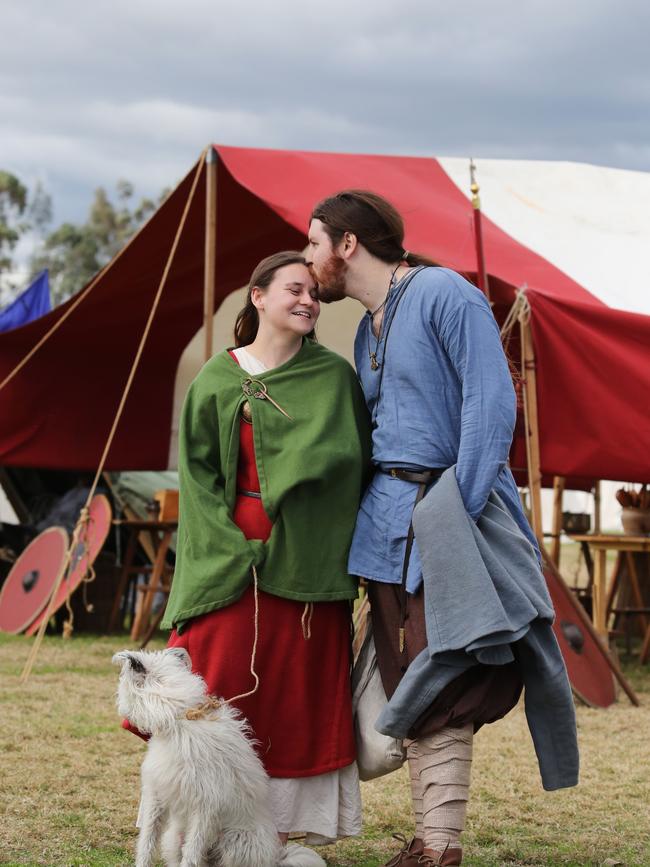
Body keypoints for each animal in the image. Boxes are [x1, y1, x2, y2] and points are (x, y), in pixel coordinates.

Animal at [113, 648, 278, 867]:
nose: (122, 712)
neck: (179, 717)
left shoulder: (205, 809)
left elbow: (191, 854)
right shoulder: (157, 796)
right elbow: (147, 842)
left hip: (236, 842)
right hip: (175, 838)